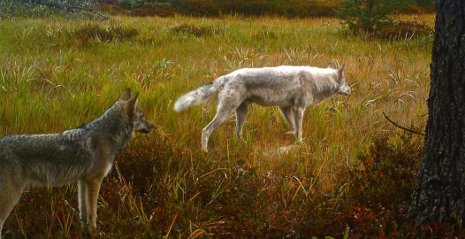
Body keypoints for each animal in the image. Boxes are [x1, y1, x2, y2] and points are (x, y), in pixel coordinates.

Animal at [0, 89, 155, 237]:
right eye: (142, 117)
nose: (153, 126)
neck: (108, 137)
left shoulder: (83, 181)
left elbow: (84, 212)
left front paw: (85, 233)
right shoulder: (94, 180)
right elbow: (93, 213)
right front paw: (96, 233)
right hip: (11, 197)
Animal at [174, 64, 352, 152]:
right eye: (346, 83)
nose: (351, 91)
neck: (316, 80)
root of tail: (229, 75)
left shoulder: (285, 108)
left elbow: (294, 129)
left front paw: (293, 140)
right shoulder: (298, 109)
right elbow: (300, 130)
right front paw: (300, 145)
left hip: (241, 113)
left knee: (237, 133)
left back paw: (245, 145)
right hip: (226, 113)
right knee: (206, 130)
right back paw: (205, 152)